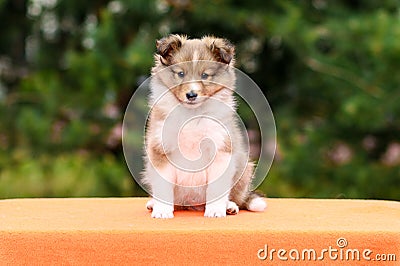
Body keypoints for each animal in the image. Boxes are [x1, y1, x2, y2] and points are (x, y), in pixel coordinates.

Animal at [142, 34, 268, 218]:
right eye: (181, 74)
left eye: (205, 75)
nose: (191, 95)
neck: (192, 114)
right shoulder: (160, 149)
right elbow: (163, 186)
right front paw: (162, 211)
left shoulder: (220, 151)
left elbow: (216, 188)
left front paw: (215, 211)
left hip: (243, 170)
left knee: (238, 198)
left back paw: (229, 206)